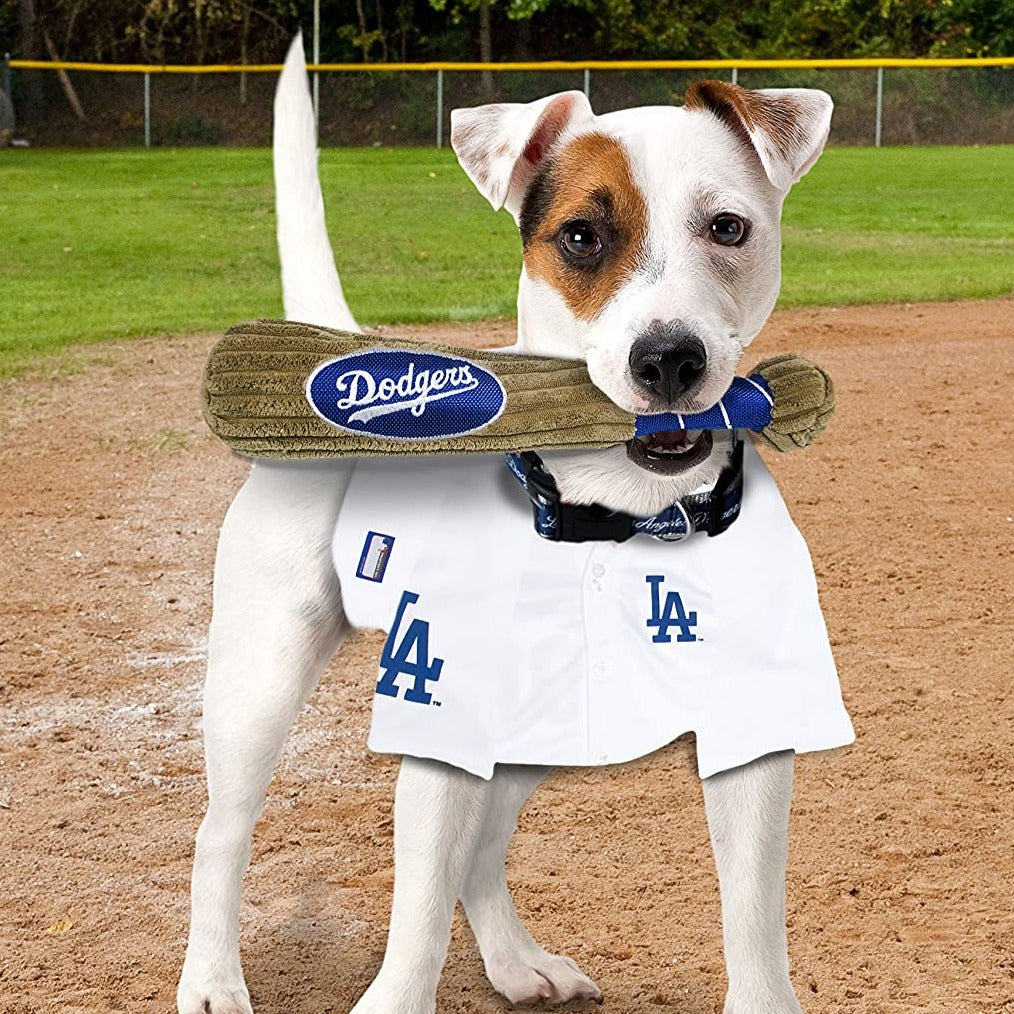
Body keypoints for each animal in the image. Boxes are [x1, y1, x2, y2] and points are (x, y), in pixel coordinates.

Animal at [180, 35, 847, 1014]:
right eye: (580, 236)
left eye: (727, 228)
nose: (669, 358)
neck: (614, 514)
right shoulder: (437, 726)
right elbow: (416, 918)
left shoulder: (754, 736)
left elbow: (756, 923)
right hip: (258, 682)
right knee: (221, 836)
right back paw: (212, 979)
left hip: (529, 735)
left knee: (482, 855)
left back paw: (514, 962)